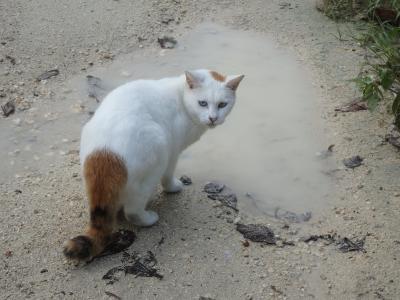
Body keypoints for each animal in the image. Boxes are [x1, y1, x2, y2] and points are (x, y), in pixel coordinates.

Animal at [63, 69, 244, 260]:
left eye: (222, 104)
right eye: (202, 103)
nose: (213, 118)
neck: (181, 96)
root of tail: (106, 154)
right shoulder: (173, 151)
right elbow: (169, 176)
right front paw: (173, 187)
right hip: (158, 151)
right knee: (133, 211)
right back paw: (147, 218)